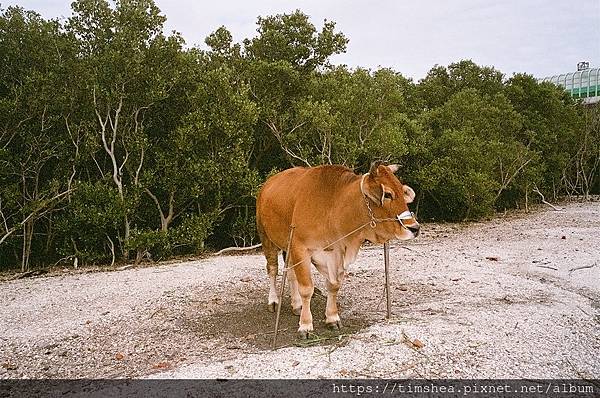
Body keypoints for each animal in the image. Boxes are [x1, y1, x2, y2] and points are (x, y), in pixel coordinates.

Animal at [255, 160, 420, 338]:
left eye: (402, 192)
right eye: (388, 194)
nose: (415, 228)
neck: (333, 208)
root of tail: (267, 184)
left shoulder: (337, 252)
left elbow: (334, 285)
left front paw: (332, 318)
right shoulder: (300, 248)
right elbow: (306, 289)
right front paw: (305, 325)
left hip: (288, 247)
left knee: (291, 274)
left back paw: (296, 304)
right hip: (266, 237)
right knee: (272, 269)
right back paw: (273, 301)